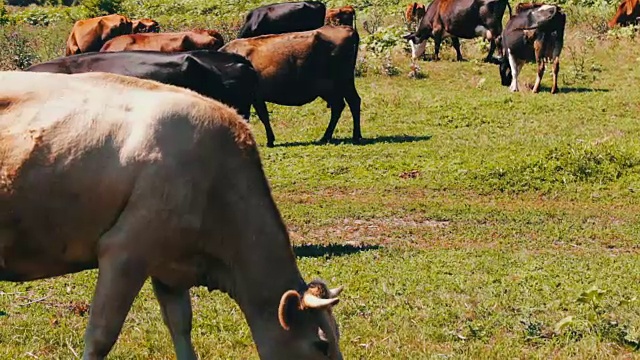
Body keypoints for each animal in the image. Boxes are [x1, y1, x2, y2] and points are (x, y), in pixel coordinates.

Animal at [219, 25, 360, 148]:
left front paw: (269, 141)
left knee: (353, 102)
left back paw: (355, 136)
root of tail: (348, 28)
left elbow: (258, 117)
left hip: (343, 83)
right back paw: (327, 137)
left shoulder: (253, 98)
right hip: (330, 89)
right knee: (339, 106)